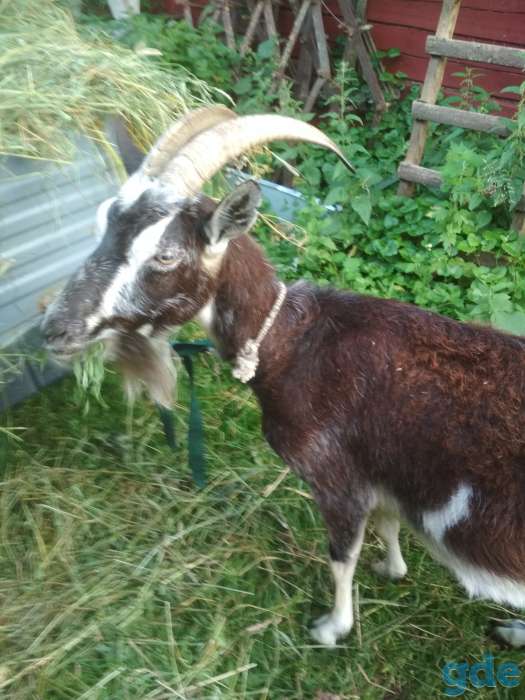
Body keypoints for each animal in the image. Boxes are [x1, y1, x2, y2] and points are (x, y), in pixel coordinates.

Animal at [42, 106, 525, 648]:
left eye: (165, 255)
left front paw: (332, 628)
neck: (292, 343)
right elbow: (387, 524)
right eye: (102, 222)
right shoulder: (377, 471)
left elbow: (341, 555)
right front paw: (391, 568)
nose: (54, 328)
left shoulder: (333, 474)